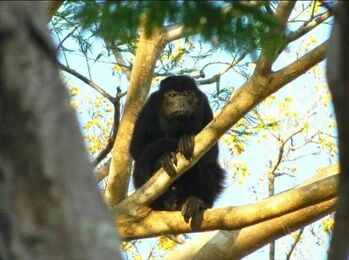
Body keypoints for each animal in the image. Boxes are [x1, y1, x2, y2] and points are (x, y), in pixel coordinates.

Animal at [129, 74, 224, 221]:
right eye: (172, 95)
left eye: (186, 94)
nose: (180, 102)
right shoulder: (151, 104)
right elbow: (136, 146)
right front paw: (163, 158)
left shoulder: (203, 104)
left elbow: (212, 153)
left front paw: (186, 139)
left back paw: (196, 202)